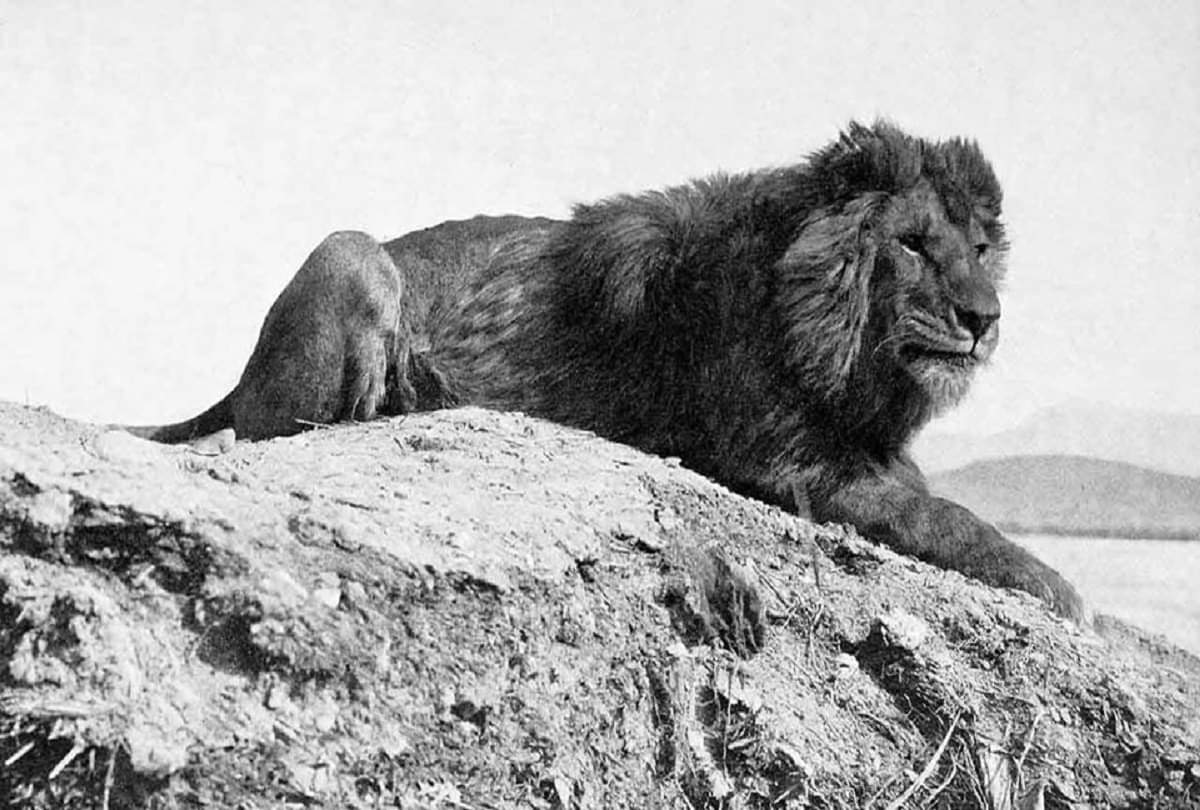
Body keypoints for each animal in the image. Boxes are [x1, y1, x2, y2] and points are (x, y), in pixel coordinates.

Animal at [127, 121, 1084, 621]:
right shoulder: (781, 464)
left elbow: (933, 498)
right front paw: (1061, 589)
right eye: (914, 244)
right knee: (278, 425)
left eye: (981, 248)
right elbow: (946, 517)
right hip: (350, 250)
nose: (984, 320)